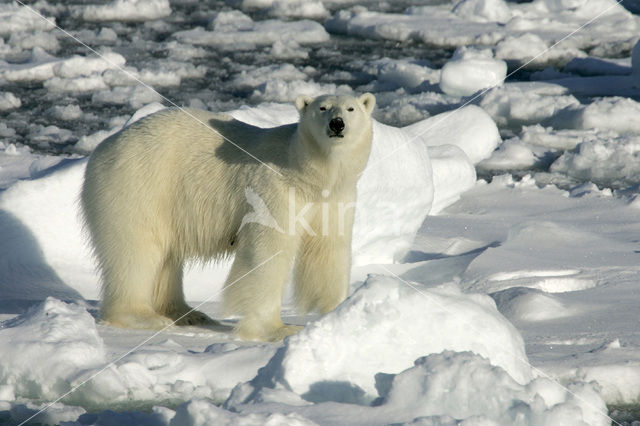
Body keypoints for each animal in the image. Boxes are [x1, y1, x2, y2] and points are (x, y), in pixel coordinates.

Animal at [81, 94, 376, 342]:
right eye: (322, 108)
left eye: (351, 108)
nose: (337, 124)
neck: (306, 173)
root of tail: (105, 146)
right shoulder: (272, 190)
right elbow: (267, 254)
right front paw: (277, 329)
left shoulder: (335, 200)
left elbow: (329, 250)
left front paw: (338, 315)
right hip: (139, 184)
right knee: (136, 252)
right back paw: (143, 316)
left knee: (167, 258)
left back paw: (189, 314)